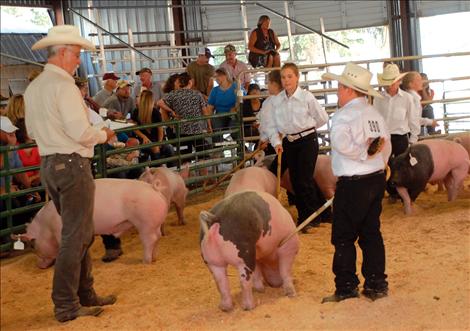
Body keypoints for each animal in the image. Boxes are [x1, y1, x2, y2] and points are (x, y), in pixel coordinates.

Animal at [21, 179, 171, 270]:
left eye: (33, 246)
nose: (39, 266)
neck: (47, 226)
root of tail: (154, 188)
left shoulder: (60, 232)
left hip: (145, 223)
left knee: (149, 240)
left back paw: (146, 261)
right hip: (154, 224)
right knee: (157, 237)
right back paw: (154, 258)